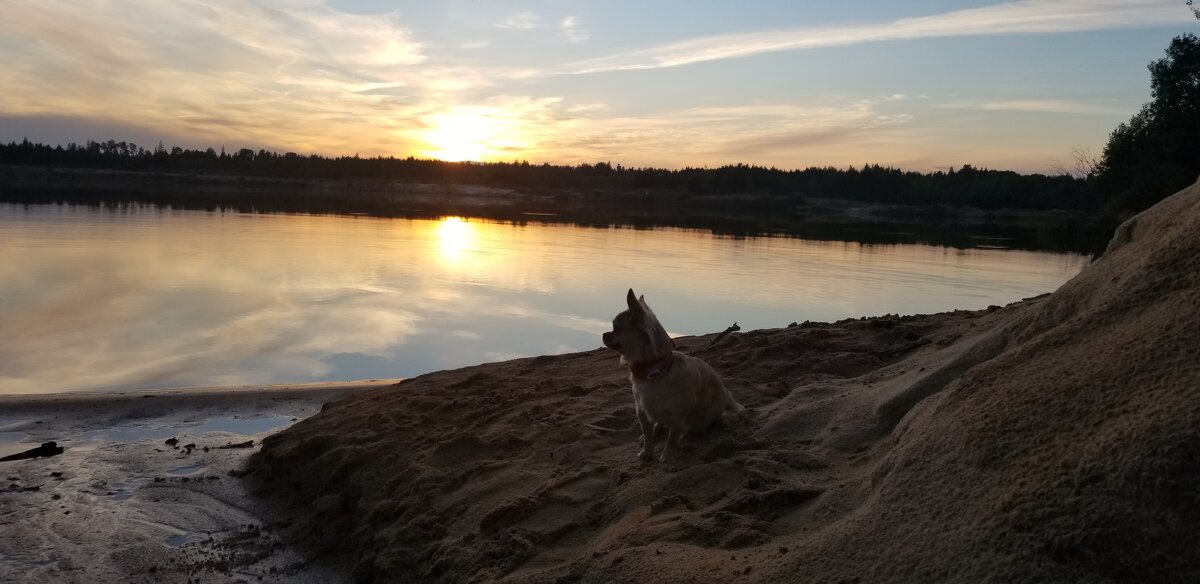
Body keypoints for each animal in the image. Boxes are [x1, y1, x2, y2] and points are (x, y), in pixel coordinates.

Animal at [600, 287, 739, 462]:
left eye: (616, 328)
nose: (604, 334)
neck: (654, 370)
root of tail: (724, 394)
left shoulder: (677, 417)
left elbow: (672, 437)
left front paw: (667, 454)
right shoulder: (642, 412)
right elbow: (647, 435)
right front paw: (647, 452)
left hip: (702, 420)